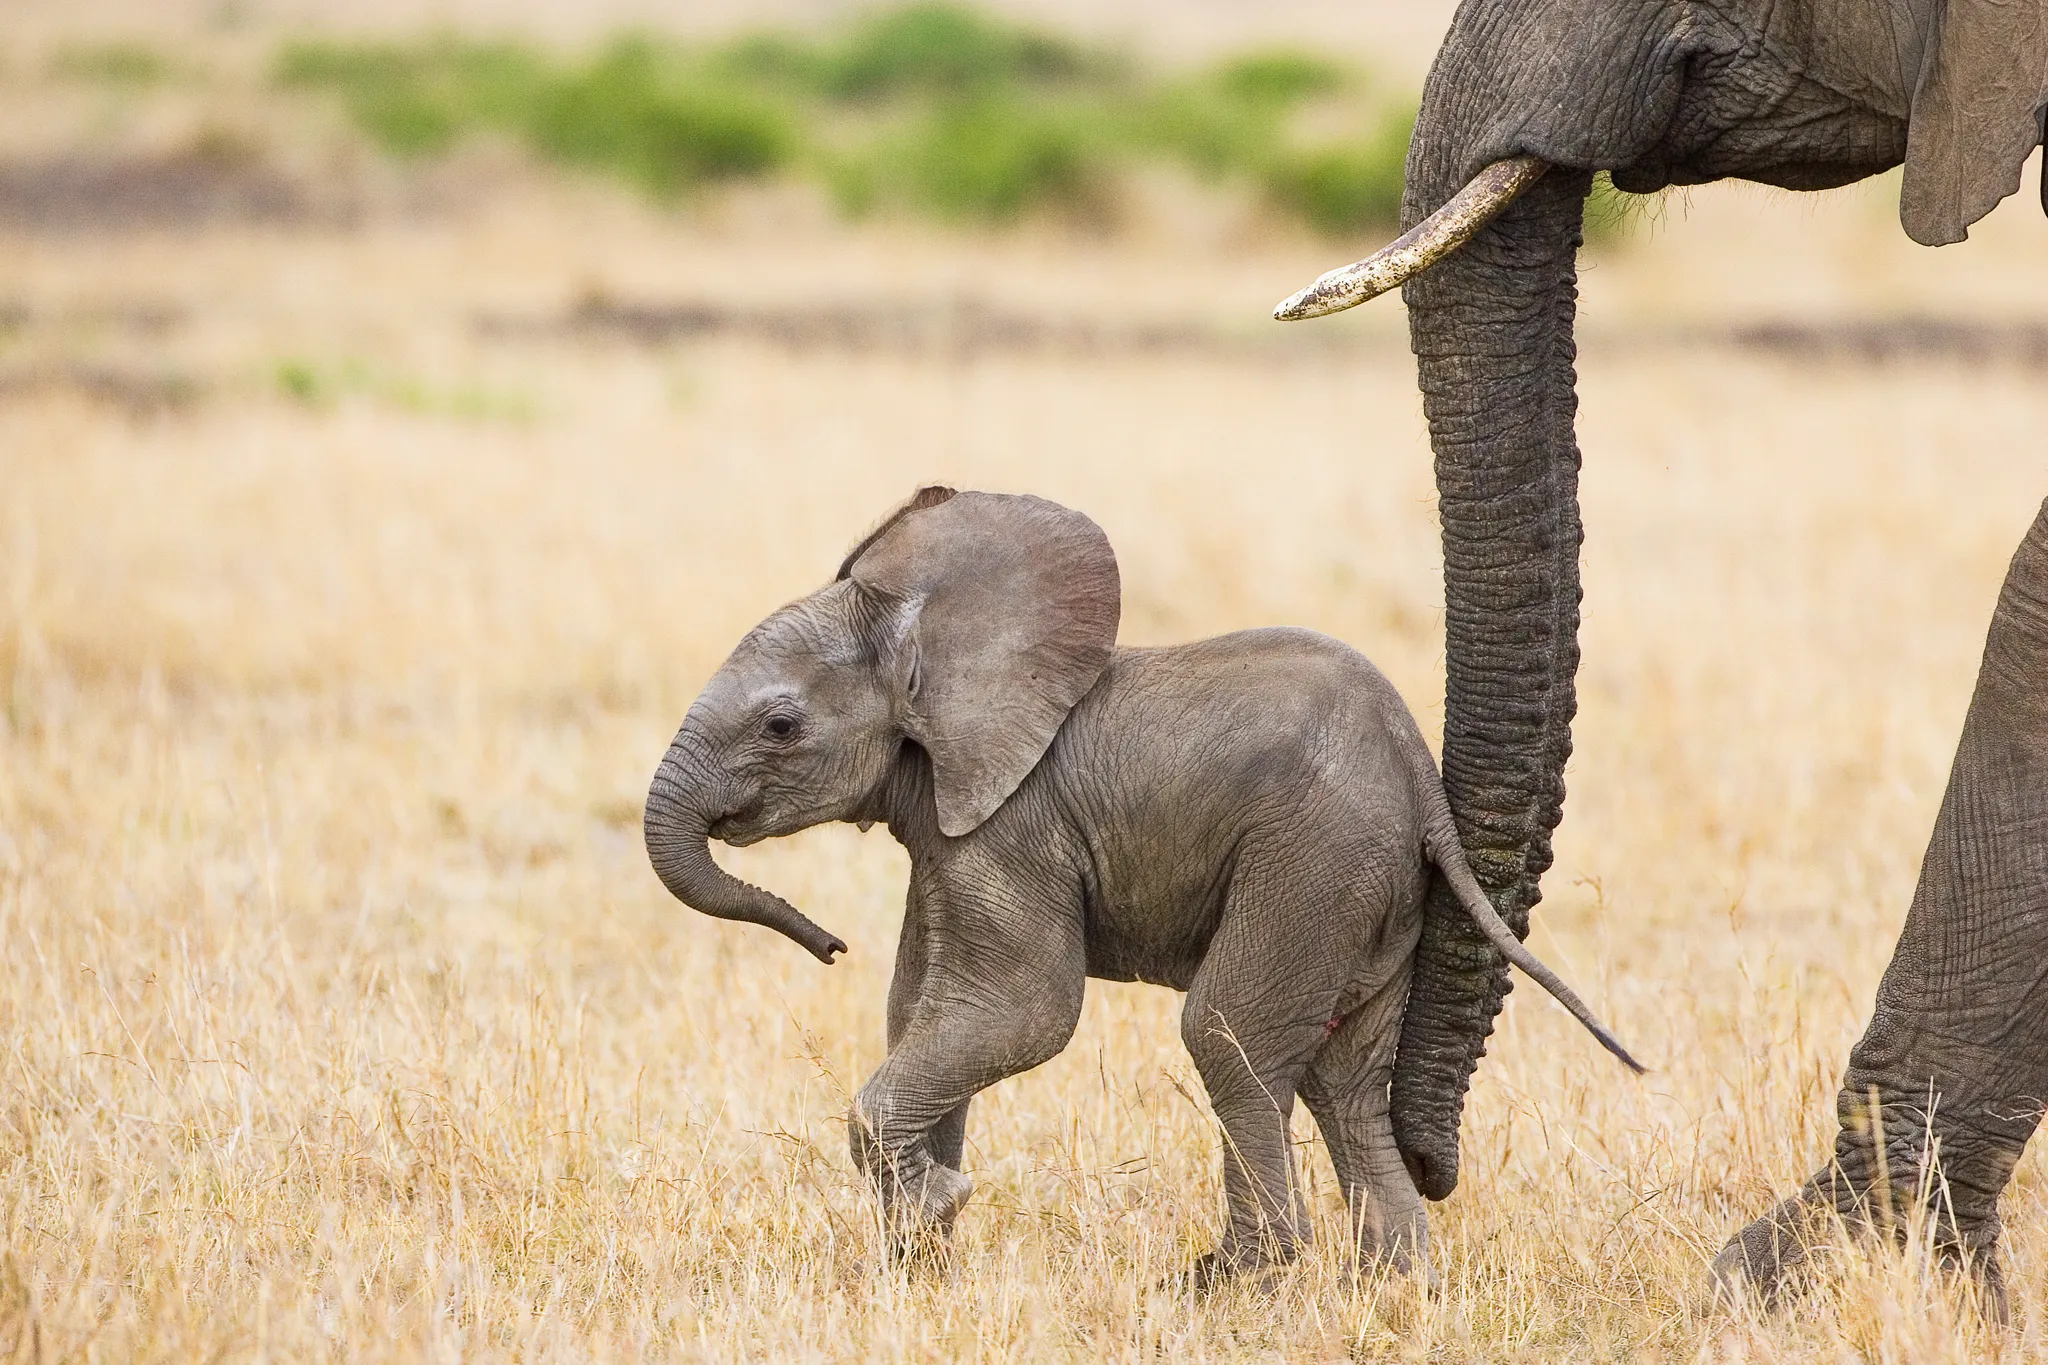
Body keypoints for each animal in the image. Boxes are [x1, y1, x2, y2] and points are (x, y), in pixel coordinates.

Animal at [647, 489, 1638, 1285]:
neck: (939, 639)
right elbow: (919, 1011)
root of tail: (1422, 785)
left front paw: (935, 1206)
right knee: (1345, 1080)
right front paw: (916, 1260)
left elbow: (1019, 1012)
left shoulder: (1014, 827)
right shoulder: (950, 830)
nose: (829, 944)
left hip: (1316, 862)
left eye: (780, 726)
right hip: (1371, 891)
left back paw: (1233, 1283)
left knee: (1227, 1030)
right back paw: (1398, 1290)